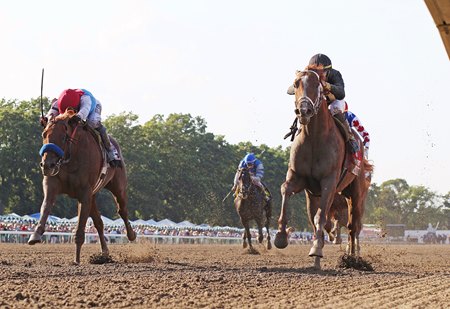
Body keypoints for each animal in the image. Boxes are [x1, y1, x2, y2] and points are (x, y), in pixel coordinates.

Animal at [28, 109, 135, 264]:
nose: (47, 165)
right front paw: (35, 235)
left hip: (118, 186)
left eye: (63, 137)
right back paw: (104, 253)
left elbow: (80, 228)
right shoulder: (52, 183)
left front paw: (77, 259)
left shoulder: (84, 193)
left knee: (122, 210)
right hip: (93, 194)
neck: (71, 158)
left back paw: (131, 235)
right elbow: (46, 205)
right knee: (99, 222)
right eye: (44, 134)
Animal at [274, 67, 372, 268]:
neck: (314, 138)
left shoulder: (329, 182)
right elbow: (286, 191)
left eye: (317, 85)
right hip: (319, 195)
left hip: (356, 193)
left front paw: (317, 249)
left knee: (353, 227)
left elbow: (321, 217)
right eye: (296, 83)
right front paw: (281, 236)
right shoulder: (298, 177)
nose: (304, 110)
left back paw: (352, 258)